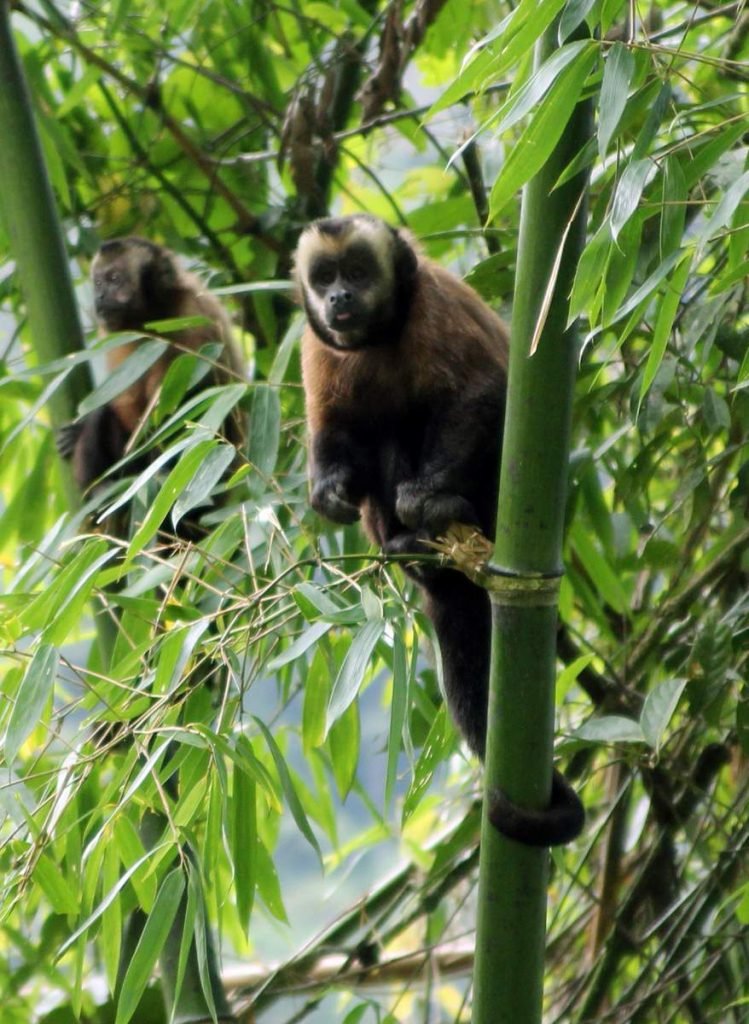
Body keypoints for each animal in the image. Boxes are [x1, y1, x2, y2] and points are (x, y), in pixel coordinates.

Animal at [59, 239, 245, 495]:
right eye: (98, 283)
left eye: (115, 279)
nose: (100, 295)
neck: (150, 318)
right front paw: (78, 430)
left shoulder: (192, 313)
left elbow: (188, 399)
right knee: (106, 410)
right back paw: (99, 489)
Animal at [295, 211, 581, 843]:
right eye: (324, 278)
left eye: (357, 272)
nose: (339, 298)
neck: (380, 336)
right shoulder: (313, 343)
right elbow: (336, 431)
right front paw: (330, 489)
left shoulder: (434, 305)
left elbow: (479, 393)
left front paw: (427, 497)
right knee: (379, 431)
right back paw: (411, 550)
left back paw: (441, 516)